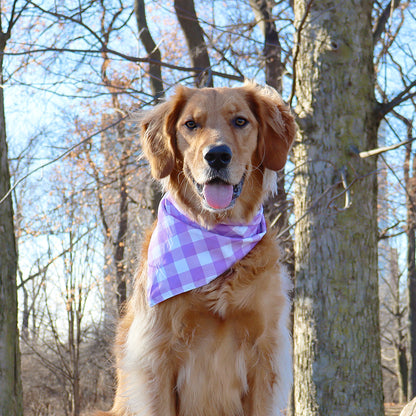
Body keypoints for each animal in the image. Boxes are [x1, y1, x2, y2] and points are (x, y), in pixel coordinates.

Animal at [95, 82, 296, 416]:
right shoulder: (157, 358)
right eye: (191, 124)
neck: (213, 236)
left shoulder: (265, 355)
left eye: (240, 121)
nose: (217, 156)